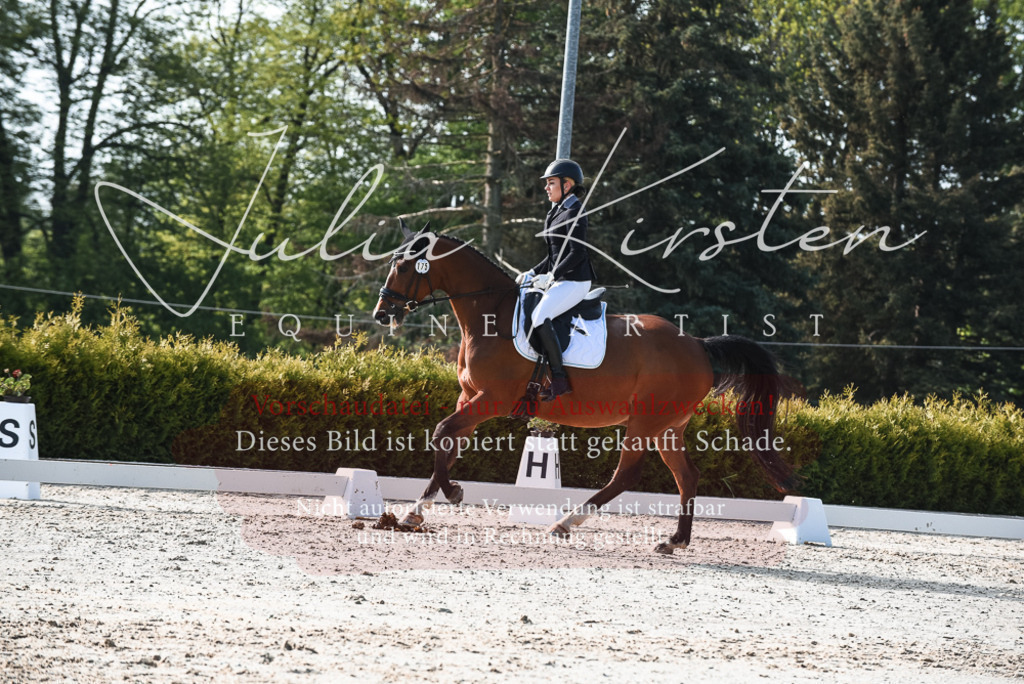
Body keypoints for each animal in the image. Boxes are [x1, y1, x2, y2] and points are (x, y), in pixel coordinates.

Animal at [372, 225, 797, 553]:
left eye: (404, 266)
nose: (381, 313)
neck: (489, 316)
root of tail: (698, 344)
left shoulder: (491, 400)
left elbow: (442, 432)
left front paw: (454, 492)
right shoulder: (470, 398)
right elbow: (448, 443)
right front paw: (415, 511)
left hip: (644, 423)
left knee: (626, 476)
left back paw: (565, 524)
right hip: (668, 428)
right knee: (687, 476)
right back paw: (674, 540)